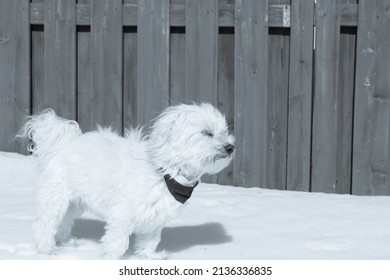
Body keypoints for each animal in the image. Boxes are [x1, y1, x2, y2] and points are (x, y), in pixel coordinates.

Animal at [17, 104, 235, 260]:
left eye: (224, 132)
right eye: (207, 133)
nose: (230, 147)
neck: (166, 171)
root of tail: (63, 145)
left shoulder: (156, 216)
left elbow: (151, 239)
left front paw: (150, 256)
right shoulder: (123, 213)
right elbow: (118, 241)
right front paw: (110, 258)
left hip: (75, 202)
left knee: (64, 221)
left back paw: (67, 242)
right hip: (56, 198)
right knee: (46, 223)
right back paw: (47, 249)